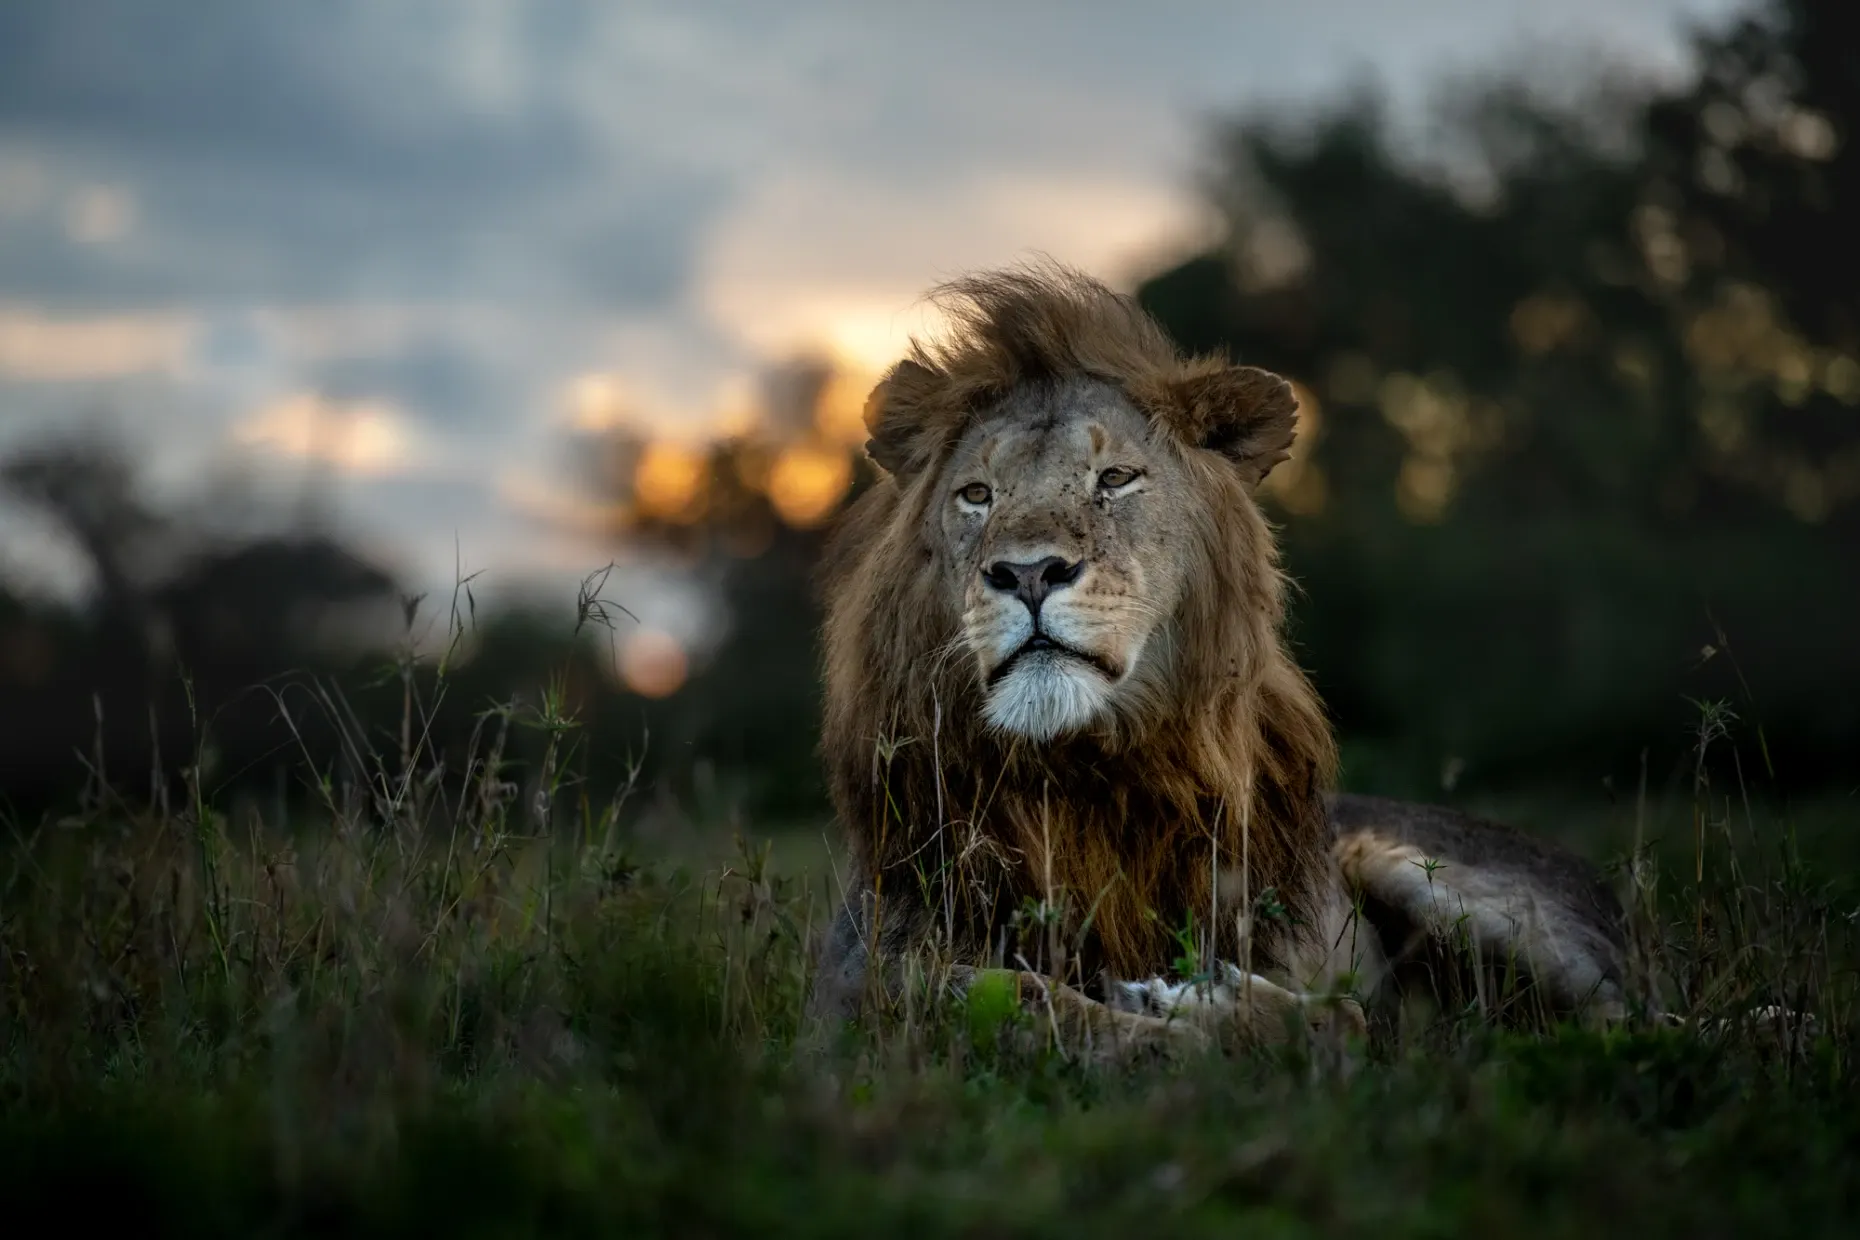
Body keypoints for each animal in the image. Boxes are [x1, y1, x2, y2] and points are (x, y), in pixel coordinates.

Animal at [807, 262, 1636, 1055]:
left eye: (1115, 479)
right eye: (977, 494)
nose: (1029, 573)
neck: (1082, 778)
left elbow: (1334, 1017)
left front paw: (1189, 1010)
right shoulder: (864, 971)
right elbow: (996, 997)